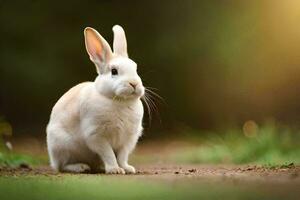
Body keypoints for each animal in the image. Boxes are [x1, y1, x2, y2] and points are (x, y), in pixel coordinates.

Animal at [46, 25, 145, 173]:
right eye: (114, 71)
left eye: (136, 68)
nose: (134, 84)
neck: (119, 101)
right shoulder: (97, 136)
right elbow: (109, 154)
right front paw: (115, 170)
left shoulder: (128, 139)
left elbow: (122, 156)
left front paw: (127, 169)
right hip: (62, 147)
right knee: (62, 166)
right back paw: (81, 167)